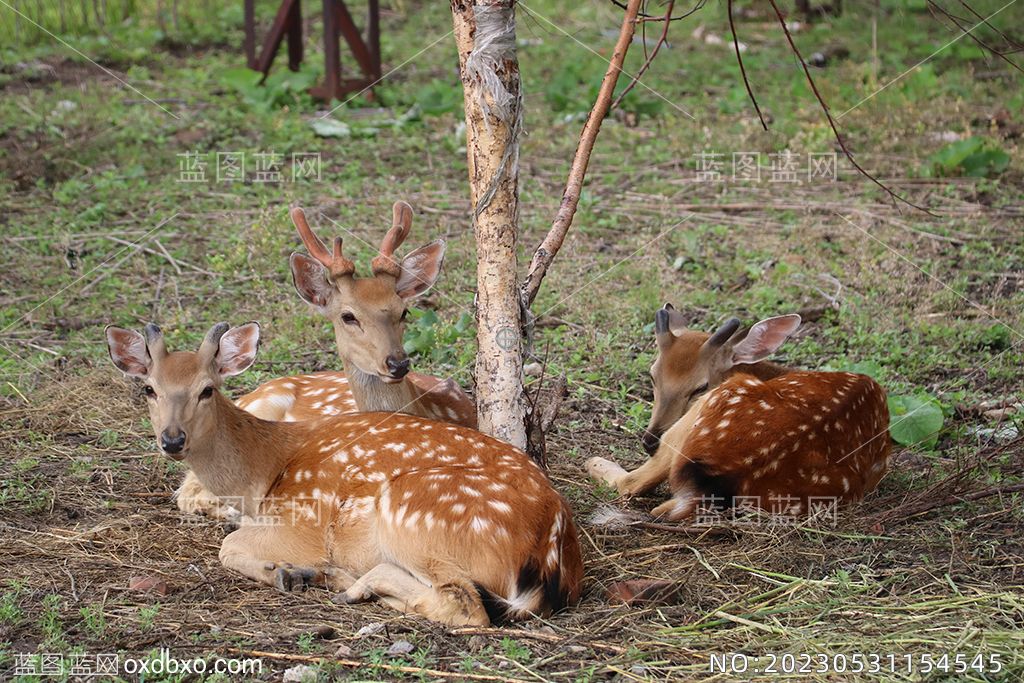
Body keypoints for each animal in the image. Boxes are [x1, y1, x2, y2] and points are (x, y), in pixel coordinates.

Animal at [109, 321, 585, 626]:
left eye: (207, 389)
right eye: (149, 388)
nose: (172, 439)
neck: (263, 473)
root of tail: (552, 550)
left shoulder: (304, 521)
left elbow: (228, 546)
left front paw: (282, 571)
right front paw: (290, 571)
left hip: (414, 512)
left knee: (465, 604)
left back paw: (343, 581)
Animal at [589, 307, 892, 520]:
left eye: (700, 386)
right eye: (652, 376)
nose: (650, 440)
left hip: (701, 415)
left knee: (632, 483)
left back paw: (595, 462)